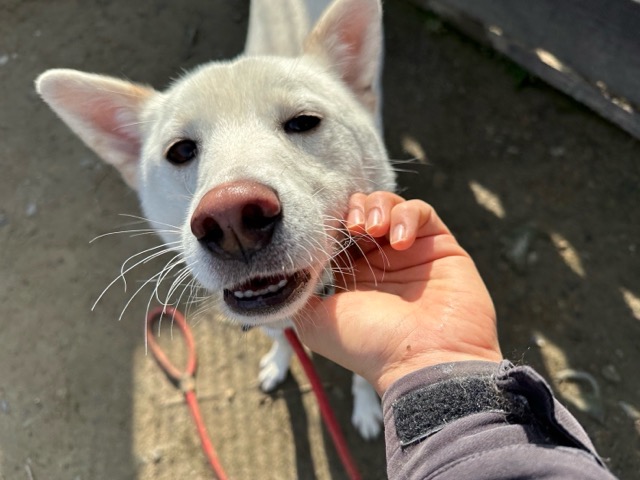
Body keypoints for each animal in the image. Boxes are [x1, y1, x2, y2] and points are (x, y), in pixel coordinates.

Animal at [36, 0, 395, 440]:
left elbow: (364, 369)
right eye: (180, 150)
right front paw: (278, 362)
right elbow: (281, 337)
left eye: (303, 121)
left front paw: (366, 407)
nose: (230, 218)